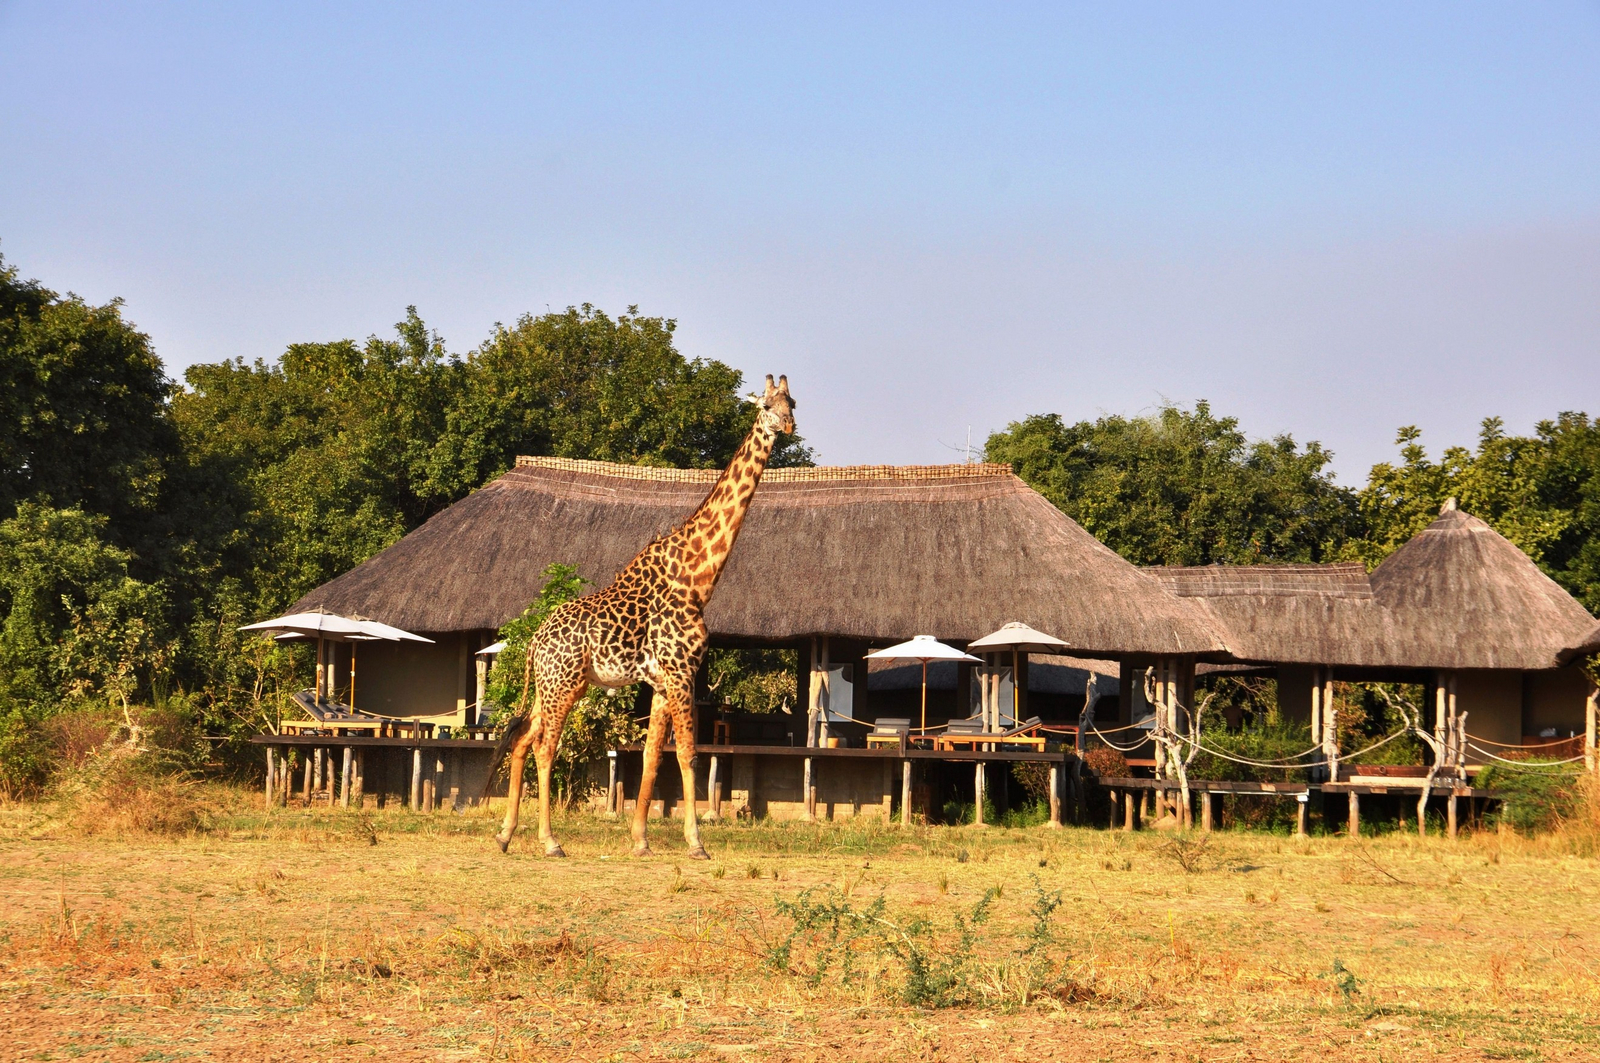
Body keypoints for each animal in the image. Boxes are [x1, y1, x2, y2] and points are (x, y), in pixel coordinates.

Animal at [489, 374, 796, 859]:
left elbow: (654, 756)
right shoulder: (682, 671)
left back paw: (505, 835)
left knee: (521, 740)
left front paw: (640, 840)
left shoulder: (662, 680)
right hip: (564, 685)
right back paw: (550, 841)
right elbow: (689, 753)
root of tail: (535, 641)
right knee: (545, 747)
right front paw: (696, 843)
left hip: (553, 686)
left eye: (793, 402)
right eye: (765, 405)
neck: (697, 579)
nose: (786, 425)